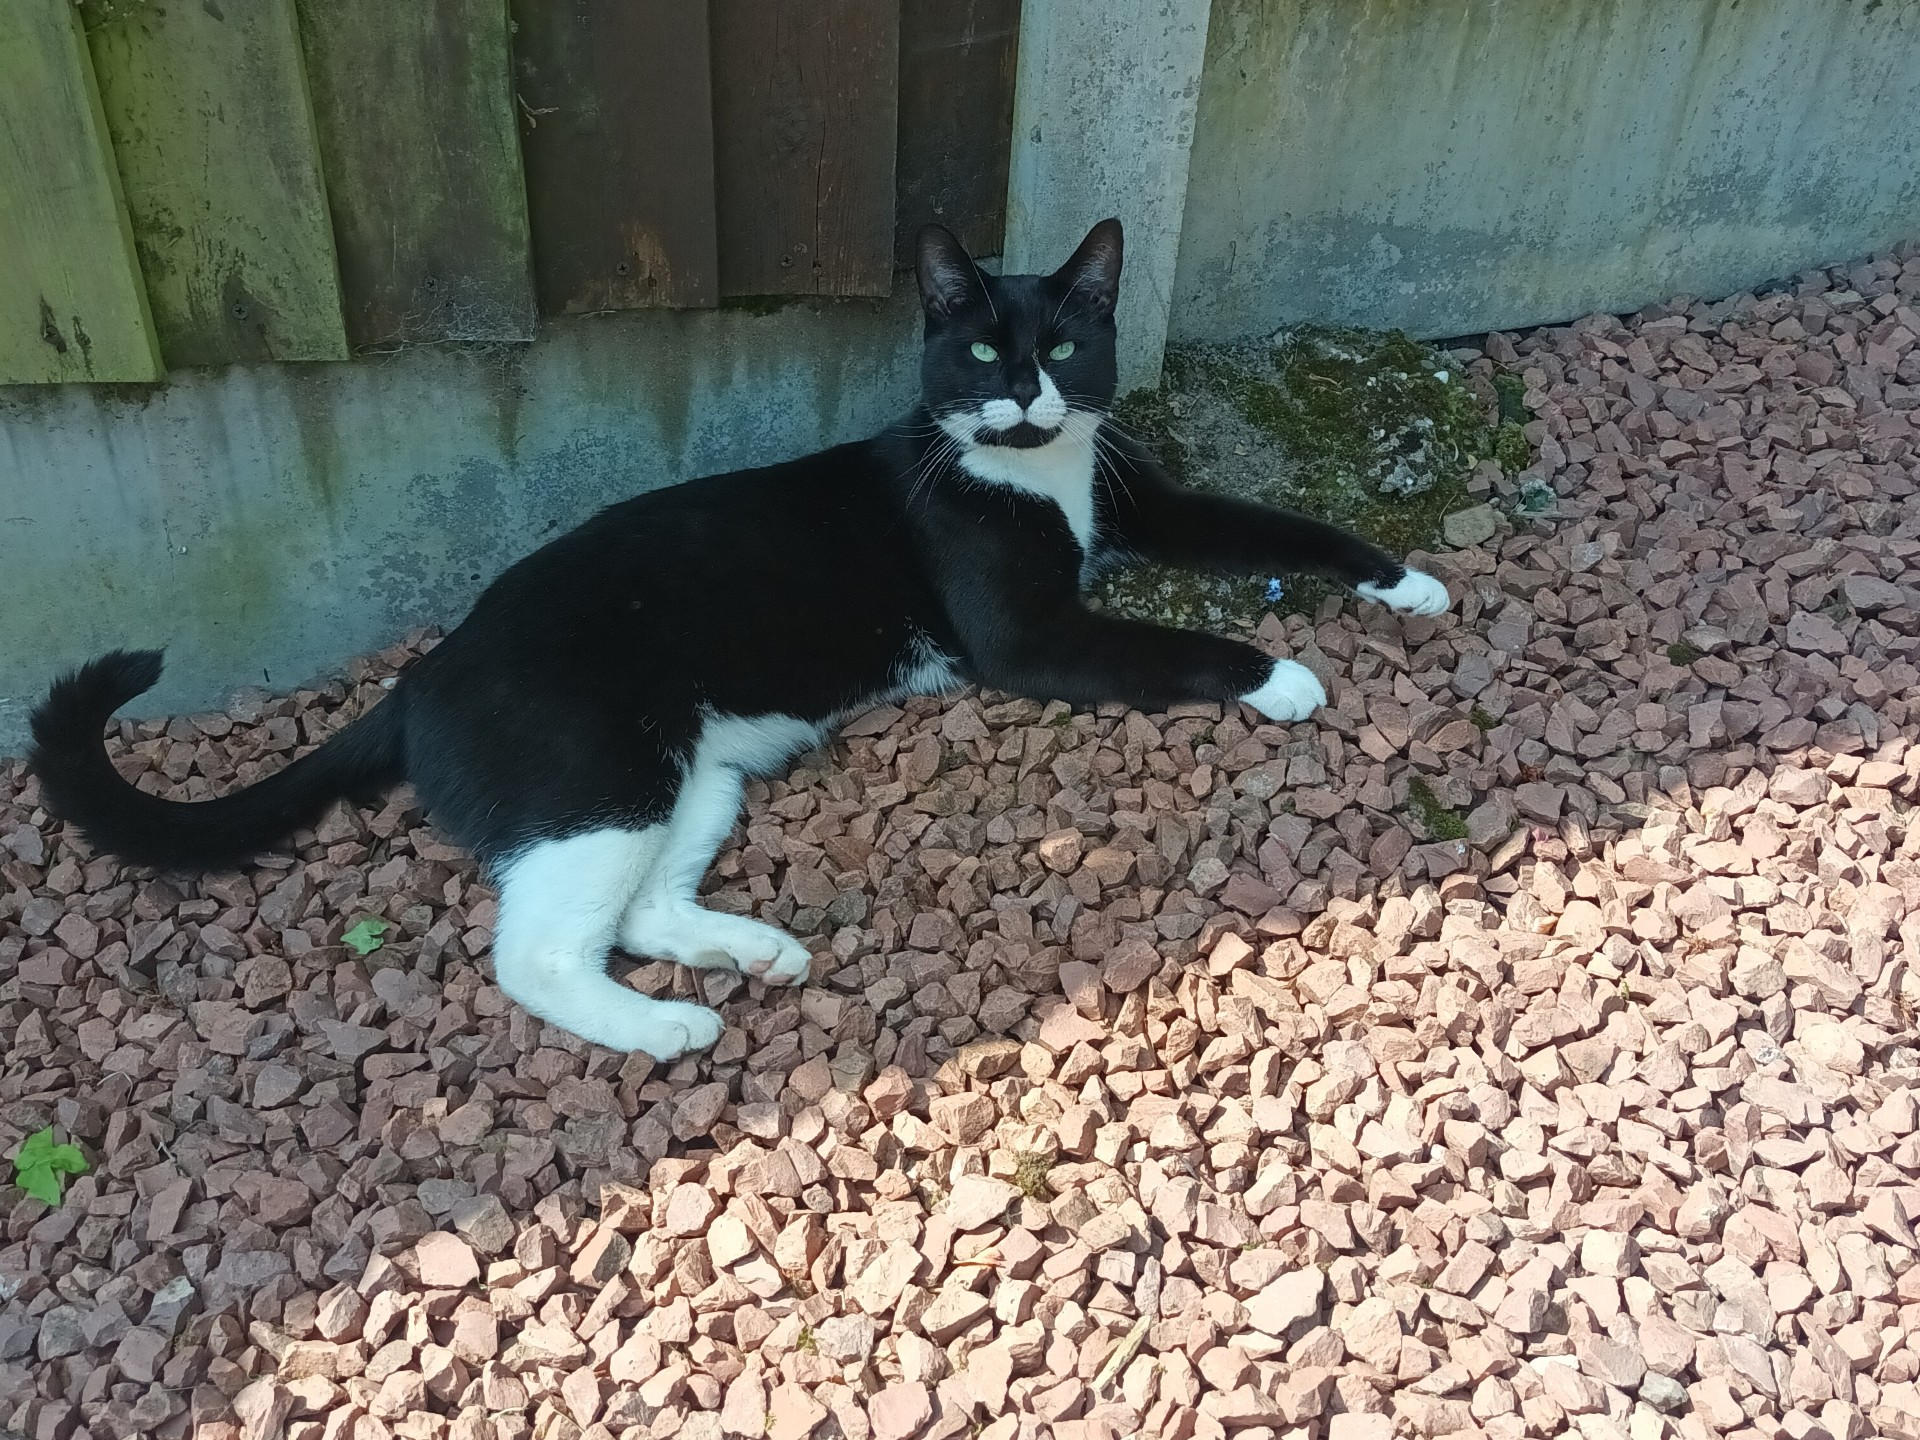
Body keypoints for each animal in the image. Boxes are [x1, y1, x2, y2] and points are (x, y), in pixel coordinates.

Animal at [30, 222, 1443, 1059]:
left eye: (1063, 342)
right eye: (983, 348)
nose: (1028, 398)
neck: (1040, 474)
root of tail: (421, 673)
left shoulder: (1144, 499)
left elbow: (1280, 524)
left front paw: (1408, 581)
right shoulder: (1031, 638)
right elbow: (1174, 644)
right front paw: (1287, 676)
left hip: (696, 774)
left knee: (642, 905)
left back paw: (748, 951)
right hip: (598, 773)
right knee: (533, 949)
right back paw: (668, 1032)